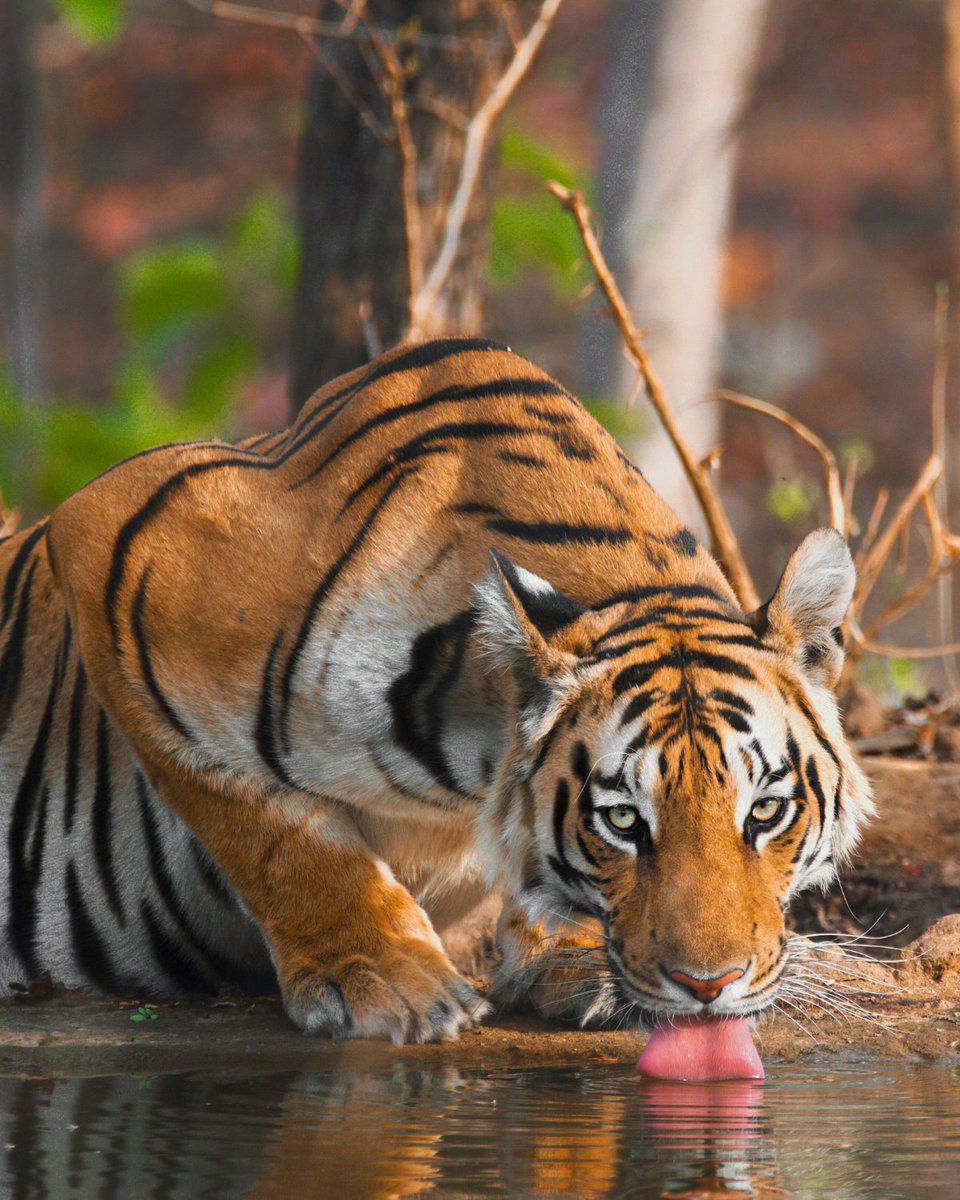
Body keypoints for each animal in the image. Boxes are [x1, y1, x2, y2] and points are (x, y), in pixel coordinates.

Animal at [0, 337, 872, 1043]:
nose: (707, 987)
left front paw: (569, 957)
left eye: (767, 811)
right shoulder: (112, 540)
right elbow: (271, 828)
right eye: (623, 821)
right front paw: (385, 980)